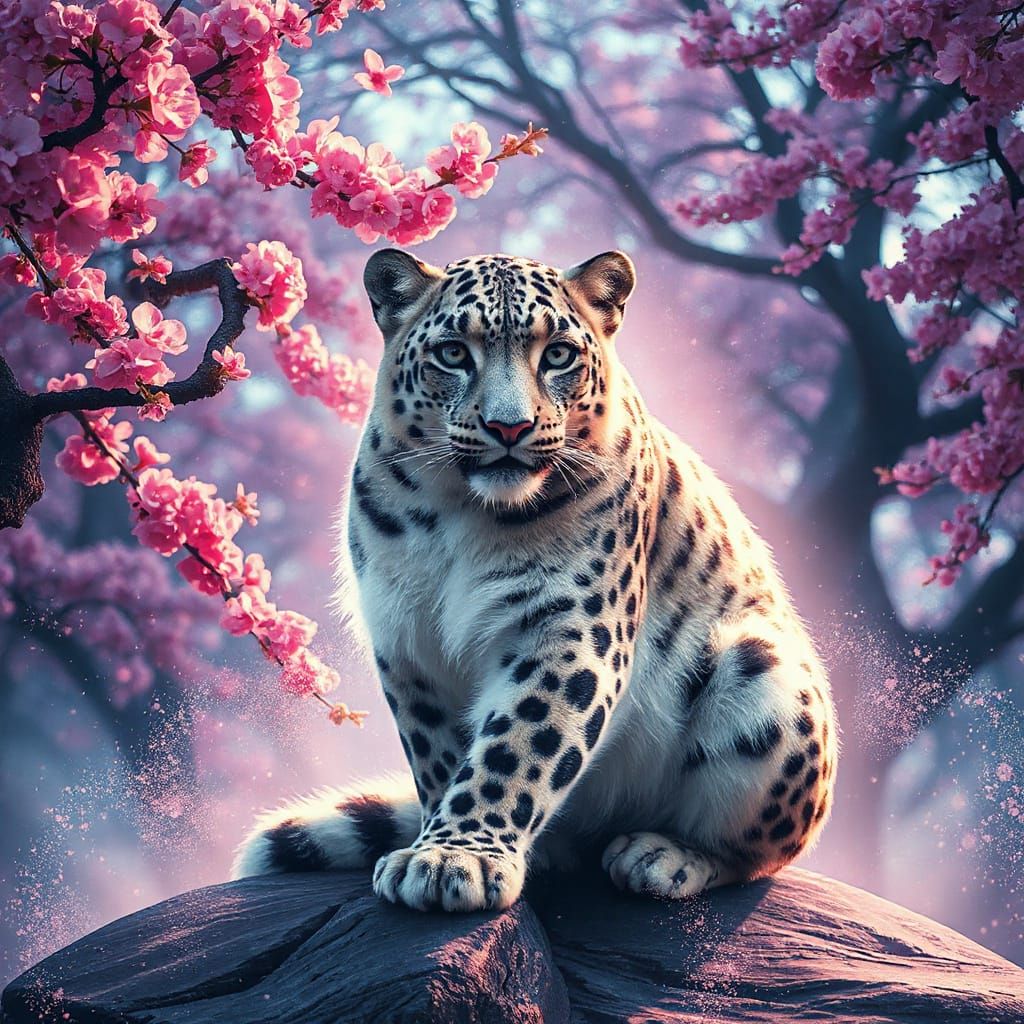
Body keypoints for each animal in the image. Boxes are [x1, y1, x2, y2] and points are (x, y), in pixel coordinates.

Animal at [231, 248, 838, 913]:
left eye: (559, 355)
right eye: (453, 353)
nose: (509, 427)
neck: (459, 513)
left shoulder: (570, 628)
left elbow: (518, 744)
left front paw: (456, 858)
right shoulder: (407, 639)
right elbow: (441, 756)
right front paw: (440, 845)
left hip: (766, 672)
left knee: (759, 853)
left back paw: (661, 858)